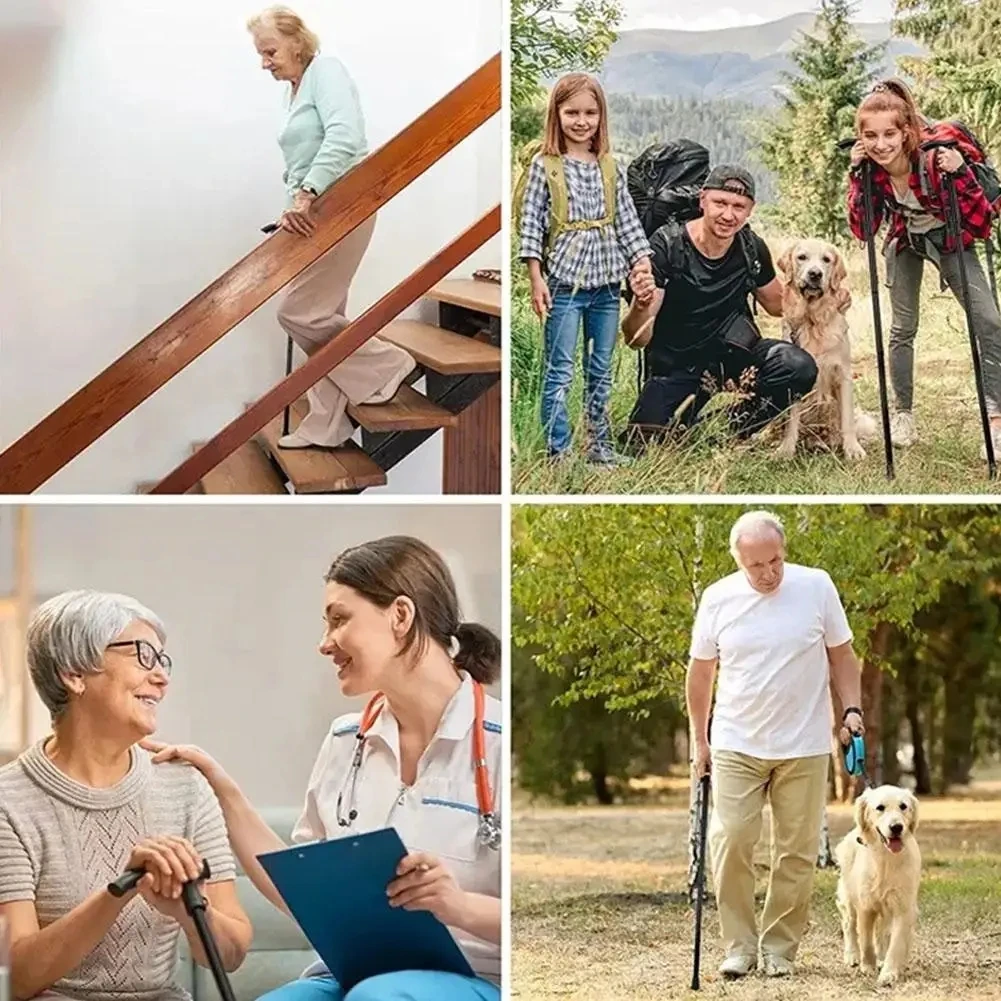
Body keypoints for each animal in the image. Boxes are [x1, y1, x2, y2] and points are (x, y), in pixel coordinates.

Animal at [776, 240, 864, 462]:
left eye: (826, 259)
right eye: (802, 257)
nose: (815, 274)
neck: (812, 319)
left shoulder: (843, 374)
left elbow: (847, 419)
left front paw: (852, 449)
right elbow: (791, 421)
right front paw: (786, 449)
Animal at [836, 784, 920, 988]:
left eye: (903, 806)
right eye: (880, 807)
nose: (896, 827)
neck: (886, 859)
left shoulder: (903, 907)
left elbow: (896, 943)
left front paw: (889, 972)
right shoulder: (865, 906)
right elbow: (866, 940)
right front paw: (868, 966)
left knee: (882, 932)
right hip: (848, 897)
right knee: (849, 925)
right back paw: (852, 955)